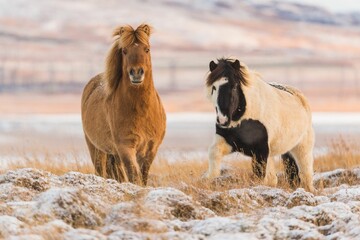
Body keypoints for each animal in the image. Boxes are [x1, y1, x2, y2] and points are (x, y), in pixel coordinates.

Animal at [81, 23, 165, 186]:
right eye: (125, 51)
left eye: (147, 49)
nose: (136, 73)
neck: (141, 111)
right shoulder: (125, 147)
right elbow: (133, 174)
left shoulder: (151, 149)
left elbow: (143, 176)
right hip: (96, 148)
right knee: (101, 170)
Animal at [204, 57, 314, 191]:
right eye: (214, 87)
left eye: (234, 86)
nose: (222, 120)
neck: (244, 118)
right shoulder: (228, 141)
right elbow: (214, 153)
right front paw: (210, 179)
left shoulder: (260, 151)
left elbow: (259, 175)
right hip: (283, 151)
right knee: (283, 177)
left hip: (301, 148)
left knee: (305, 174)